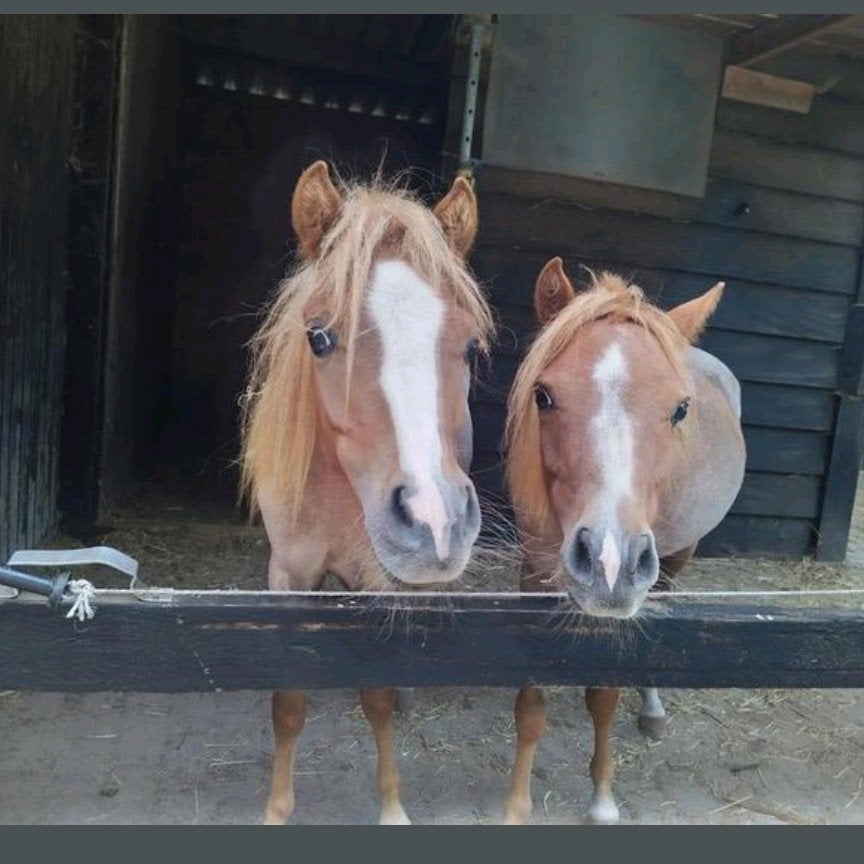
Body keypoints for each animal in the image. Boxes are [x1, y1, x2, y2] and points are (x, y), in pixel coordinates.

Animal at [240, 161, 493, 824]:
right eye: (319, 338)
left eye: (470, 345)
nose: (433, 519)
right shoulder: (289, 575)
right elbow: (289, 702)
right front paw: (277, 808)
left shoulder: (381, 579)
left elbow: (376, 695)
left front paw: (391, 807)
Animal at [501, 258, 745, 824]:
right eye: (543, 395)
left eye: (681, 409)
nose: (609, 563)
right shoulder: (534, 572)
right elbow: (530, 706)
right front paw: (518, 803)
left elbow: (604, 696)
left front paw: (603, 798)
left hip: (676, 556)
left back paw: (652, 708)